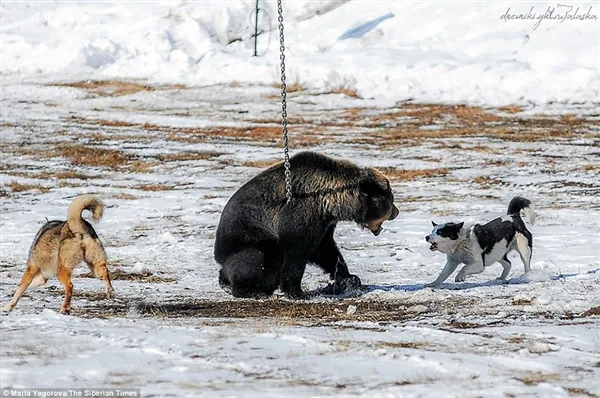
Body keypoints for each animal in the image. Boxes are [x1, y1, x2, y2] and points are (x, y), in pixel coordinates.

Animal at [214, 152, 398, 298]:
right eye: (391, 199)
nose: (396, 212)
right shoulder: (301, 213)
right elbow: (297, 252)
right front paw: (296, 292)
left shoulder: (324, 223)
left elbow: (325, 250)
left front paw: (348, 277)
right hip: (249, 237)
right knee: (260, 259)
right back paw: (250, 290)